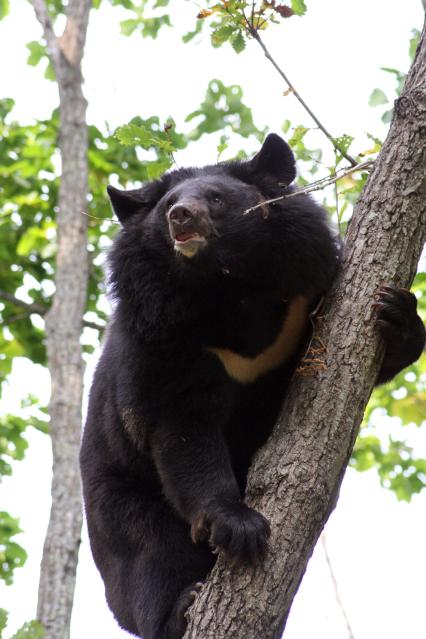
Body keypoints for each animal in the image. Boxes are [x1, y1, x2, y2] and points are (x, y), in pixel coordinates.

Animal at [80, 132, 426, 636]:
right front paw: (237, 526)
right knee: (149, 557)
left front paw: (397, 314)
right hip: (118, 503)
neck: (227, 288)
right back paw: (179, 608)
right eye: (167, 205)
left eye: (216, 198)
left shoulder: (305, 292)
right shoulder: (159, 339)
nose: (180, 216)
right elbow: (182, 429)